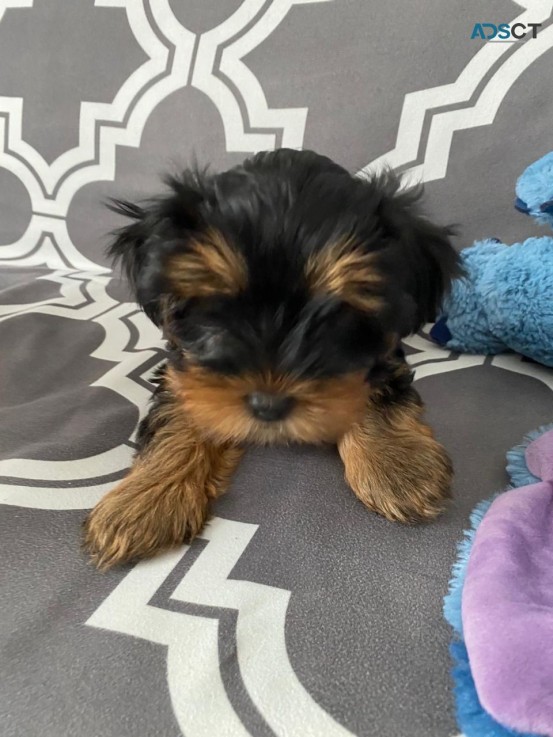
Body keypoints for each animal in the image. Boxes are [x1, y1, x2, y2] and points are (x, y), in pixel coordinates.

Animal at [85, 148, 458, 568]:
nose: (268, 405)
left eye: (339, 314)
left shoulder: (382, 352)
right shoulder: (182, 362)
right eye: (215, 308)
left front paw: (399, 467)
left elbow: (374, 384)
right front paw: (144, 501)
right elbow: (180, 409)